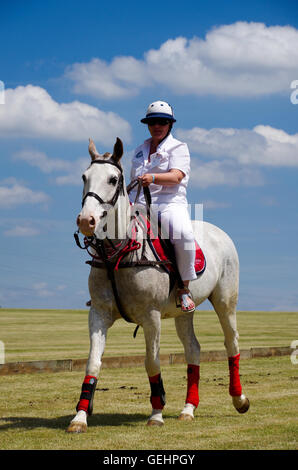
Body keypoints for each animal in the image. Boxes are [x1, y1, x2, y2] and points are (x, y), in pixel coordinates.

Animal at [67, 137, 249, 434]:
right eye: (84, 176)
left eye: (113, 179)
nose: (86, 220)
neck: (119, 255)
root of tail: (219, 232)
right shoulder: (99, 313)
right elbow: (92, 363)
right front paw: (80, 417)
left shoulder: (151, 316)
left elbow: (151, 361)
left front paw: (156, 412)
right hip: (183, 311)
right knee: (193, 348)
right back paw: (188, 409)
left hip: (225, 300)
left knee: (231, 341)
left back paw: (240, 399)